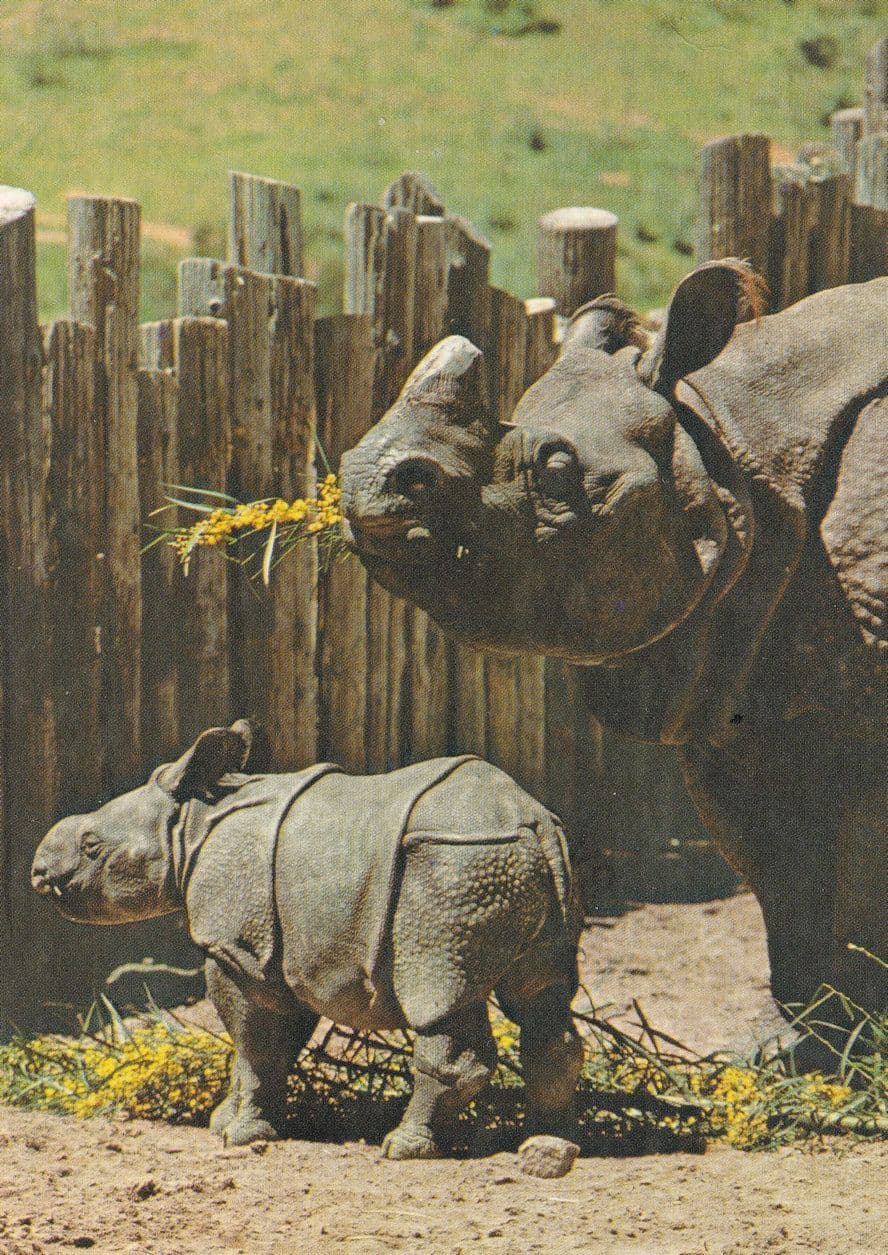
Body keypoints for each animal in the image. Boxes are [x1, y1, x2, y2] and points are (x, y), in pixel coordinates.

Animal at [31, 721, 583, 1155]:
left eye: (92, 847)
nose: (39, 872)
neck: (188, 826)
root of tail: (534, 822)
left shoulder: (238, 948)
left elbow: (257, 1045)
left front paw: (241, 1136)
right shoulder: (278, 954)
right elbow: (267, 1045)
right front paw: (223, 1121)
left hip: (453, 870)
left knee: (438, 995)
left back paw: (405, 1148)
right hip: (516, 864)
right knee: (542, 997)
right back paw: (547, 1142)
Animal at [340, 262, 887, 1028]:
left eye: (557, 470)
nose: (365, 480)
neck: (733, 441)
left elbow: (858, 878)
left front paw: (856, 1042)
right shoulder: (729, 687)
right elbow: (780, 877)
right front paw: (795, 1037)